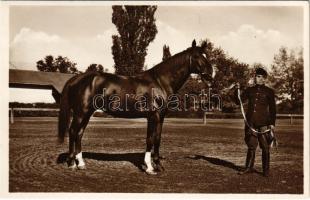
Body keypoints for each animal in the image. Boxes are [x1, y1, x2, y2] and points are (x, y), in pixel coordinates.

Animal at [57, 38, 216, 173]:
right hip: (81, 113)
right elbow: (151, 139)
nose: (210, 75)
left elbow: (156, 139)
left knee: (79, 133)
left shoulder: (159, 117)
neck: (160, 82)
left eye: (206, 55)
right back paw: (71, 164)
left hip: (87, 113)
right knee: (73, 131)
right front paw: (151, 167)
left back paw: (81, 164)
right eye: (196, 56)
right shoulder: (153, 116)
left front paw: (156, 166)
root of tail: (76, 78)